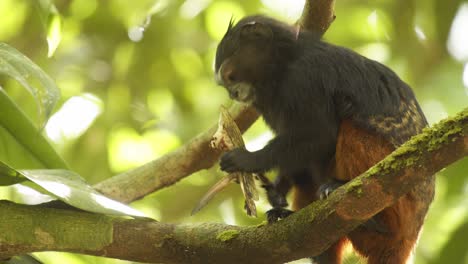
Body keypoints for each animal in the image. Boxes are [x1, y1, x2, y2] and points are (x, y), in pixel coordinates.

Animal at [216, 14, 436, 264]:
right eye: (226, 84)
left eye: (231, 76)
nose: (232, 93)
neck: (282, 68)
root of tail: (411, 232)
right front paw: (276, 192)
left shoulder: (305, 76)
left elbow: (322, 134)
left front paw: (248, 160)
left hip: (403, 204)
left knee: (349, 126)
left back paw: (367, 212)